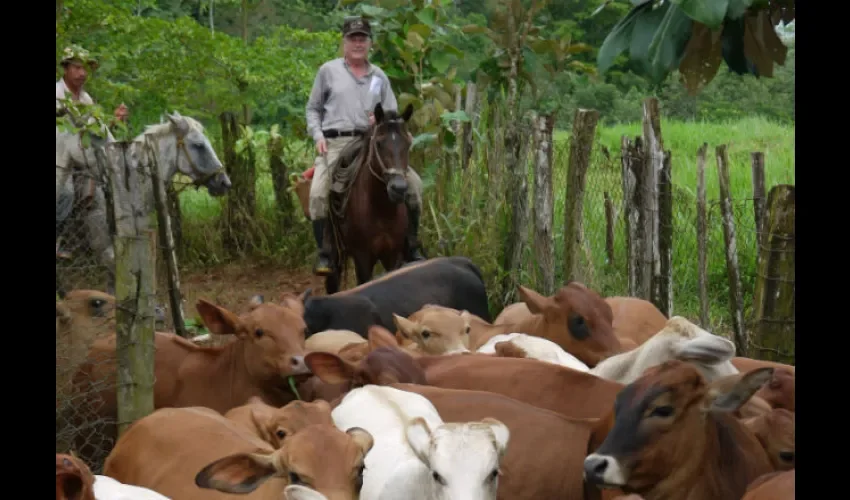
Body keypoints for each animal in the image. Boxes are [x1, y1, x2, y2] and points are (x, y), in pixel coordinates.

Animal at [323, 102, 416, 295]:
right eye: (379, 144)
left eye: (408, 143)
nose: (398, 188)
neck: (381, 209)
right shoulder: (362, 258)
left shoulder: (392, 255)